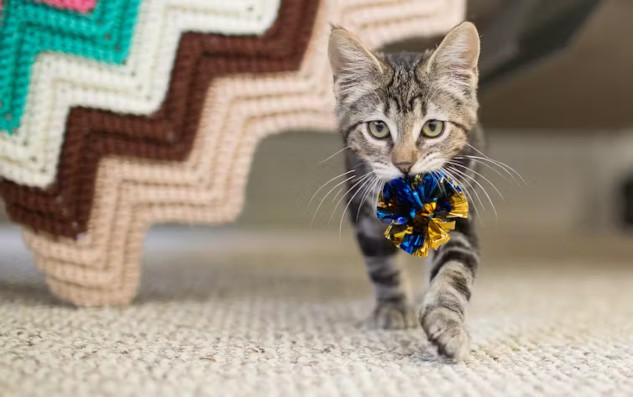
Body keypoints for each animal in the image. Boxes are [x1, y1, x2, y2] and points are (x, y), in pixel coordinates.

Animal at [328, 22, 482, 362]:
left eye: (433, 127)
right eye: (378, 128)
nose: (404, 164)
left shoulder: (457, 212)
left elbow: (454, 271)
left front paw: (447, 325)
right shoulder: (364, 212)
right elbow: (382, 265)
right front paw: (393, 308)